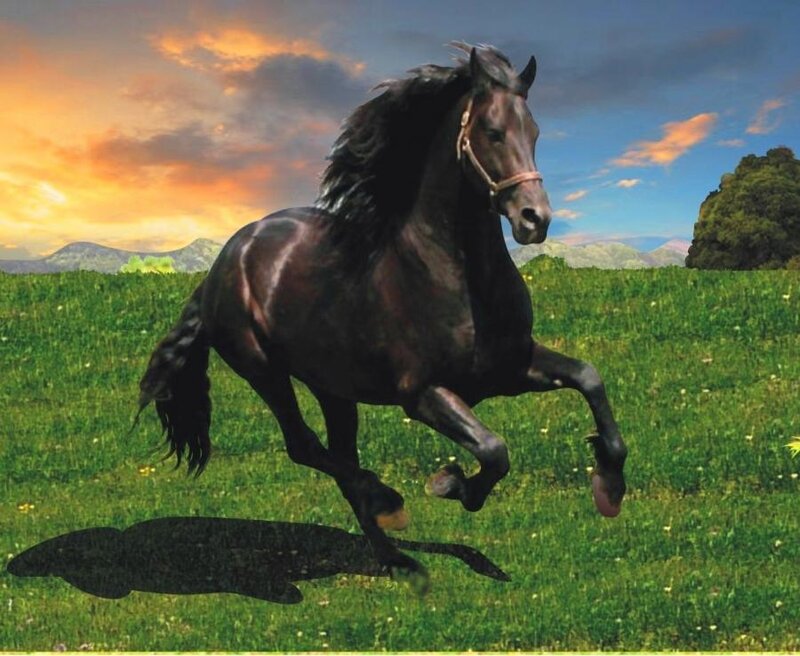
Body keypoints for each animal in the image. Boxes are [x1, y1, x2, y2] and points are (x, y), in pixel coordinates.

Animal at [137, 43, 628, 587]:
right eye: (492, 131)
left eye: (536, 132)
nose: (534, 219)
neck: (456, 277)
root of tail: (227, 258)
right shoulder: (422, 393)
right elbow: (494, 450)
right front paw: (450, 484)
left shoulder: (510, 367)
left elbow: (589, 377)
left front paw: (609, 487)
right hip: (262, 369)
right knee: (305, 447)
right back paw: (389, 504)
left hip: (332, 387)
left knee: (337, 455)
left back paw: (395, 556)